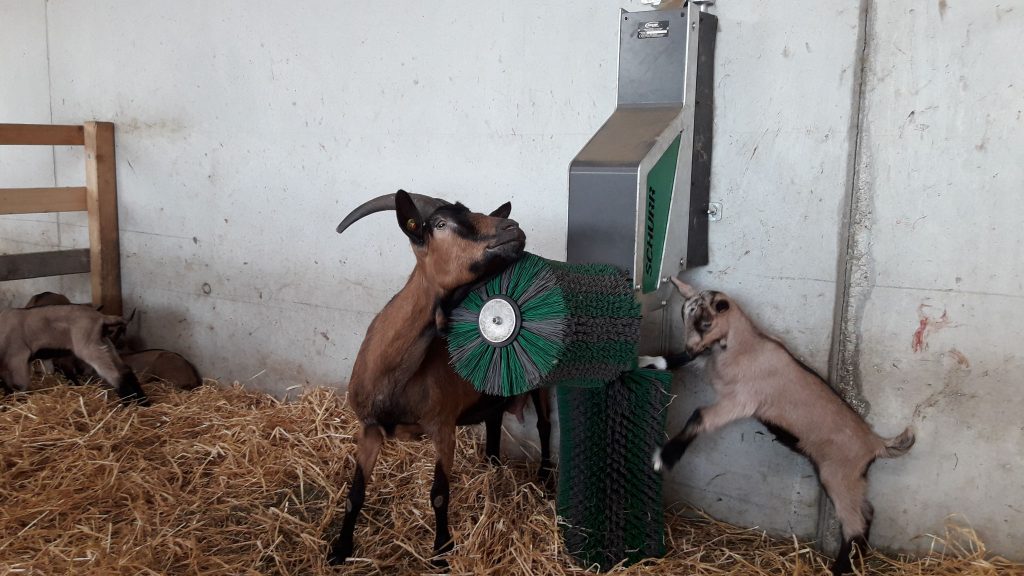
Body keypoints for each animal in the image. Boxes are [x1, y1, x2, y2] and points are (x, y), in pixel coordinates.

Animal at [0, 305, 149, 406]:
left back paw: (127, 405)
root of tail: (101, 317)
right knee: (125, 370)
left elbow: (20, 385)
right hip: (104, 344)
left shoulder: (18, 358)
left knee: (115, 375)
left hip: (88, 347)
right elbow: (7, 385)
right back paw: (144, 403)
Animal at [329, 189, 550, 565]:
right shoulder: (369, 427)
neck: (394, 376)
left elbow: (439, 494)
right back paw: (491, 466)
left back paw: (546, 480)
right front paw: (339, 550)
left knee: (545, 425)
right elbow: (354, 493)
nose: (513, 228)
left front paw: (441, 552)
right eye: (441, 224)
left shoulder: (442, 426)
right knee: (495, 417)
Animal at [646, 277, 914, 575]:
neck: (744, 344)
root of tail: (876, 443)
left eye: (705, 322)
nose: (693, 347)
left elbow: (699, 416)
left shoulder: (742, 401)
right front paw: (651, 361)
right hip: (854, 479)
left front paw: (664, 457)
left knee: (854, 523)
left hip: (839, 476)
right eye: (684, 315)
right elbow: (678, 362)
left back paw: (841, 567)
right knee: (867, 513)